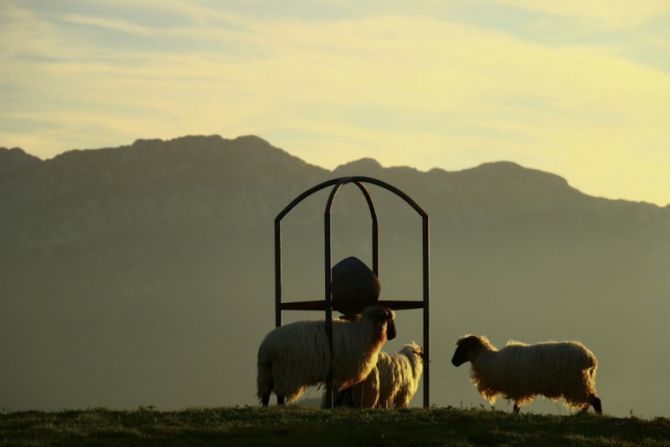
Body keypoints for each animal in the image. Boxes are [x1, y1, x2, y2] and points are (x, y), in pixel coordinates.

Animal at [255, 306, 396, 408]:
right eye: (388, 319)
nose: (393, 335)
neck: (365, 332)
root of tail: (266, 347)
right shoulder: (342, 371)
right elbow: (341, 392)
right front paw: (336, 406)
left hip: (266, 373)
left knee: (266, 393)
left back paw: (267, 408)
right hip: (284, 372)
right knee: (279, 393)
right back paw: (280, 407)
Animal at [452, 334, 604, 414]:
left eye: (463, 347)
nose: (453, 362)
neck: (490, 360)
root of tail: (590, 358)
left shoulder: (518, 388)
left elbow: (516, 408)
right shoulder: (519, 390)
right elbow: (516, 406)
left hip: (576, 384)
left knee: (595, 401)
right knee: (590, 402)